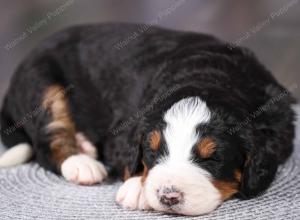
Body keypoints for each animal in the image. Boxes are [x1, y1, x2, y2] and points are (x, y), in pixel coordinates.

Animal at [0, 23, 296, 216]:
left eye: (212, 158)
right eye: (152, 152)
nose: (169, 196)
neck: (210, 75)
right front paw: (137, 188)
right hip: (41, 82)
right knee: (48, 137)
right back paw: (82, 163)